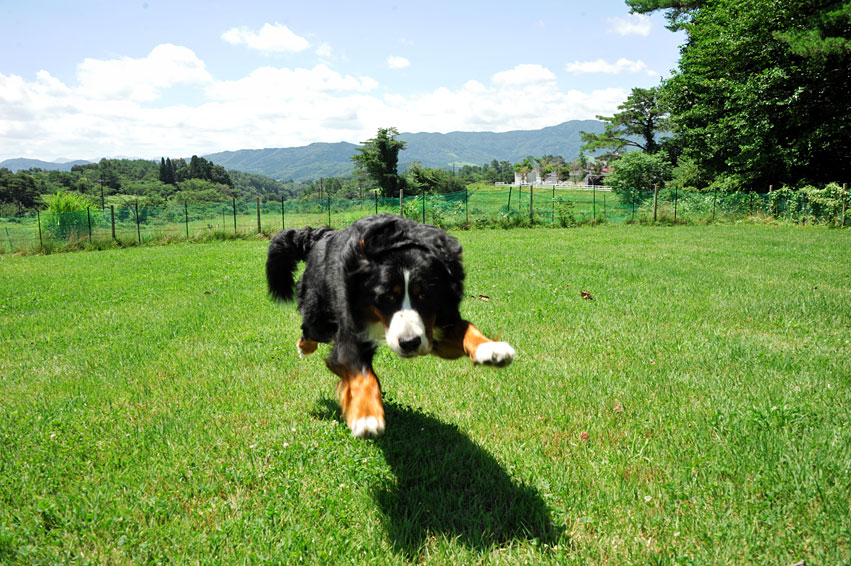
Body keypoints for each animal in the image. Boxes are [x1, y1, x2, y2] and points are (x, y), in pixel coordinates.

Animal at [270, 213, 516, 440]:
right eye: (386, 297)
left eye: (425, 295)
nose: (409, 343)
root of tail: (320, 235)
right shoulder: (352, 331)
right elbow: (362, 374)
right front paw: (366, 416)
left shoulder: (435, 325)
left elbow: (465, 328)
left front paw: (491, 349)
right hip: (319, 315)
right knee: (309, 329)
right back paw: (304, 347)